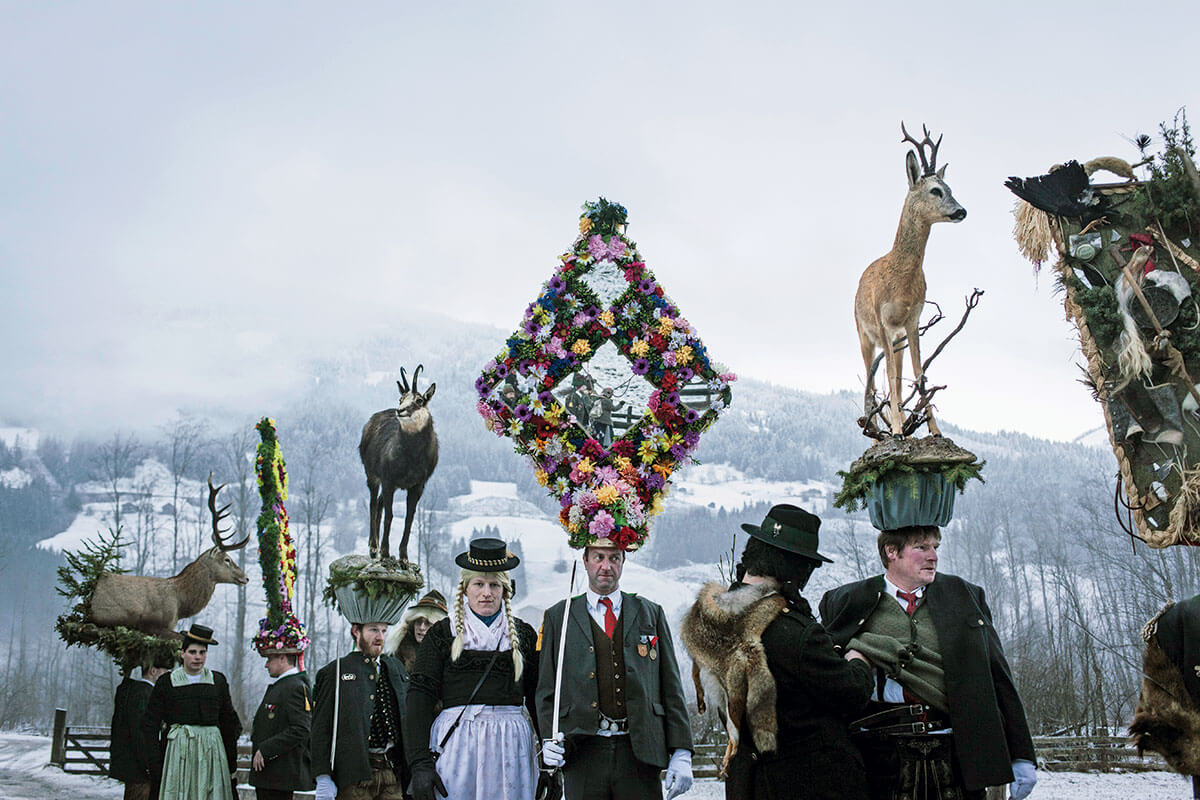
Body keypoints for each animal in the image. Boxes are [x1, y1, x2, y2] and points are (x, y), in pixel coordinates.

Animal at [364, 367, 446, 561]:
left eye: (419, 400)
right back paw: (373, 547)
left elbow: (409, 518)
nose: (400, 410)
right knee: (373, 503)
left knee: (379, 503)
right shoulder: (388, 479)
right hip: (372, 475)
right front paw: (385, 551)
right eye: (400, 398)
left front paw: (403, 557)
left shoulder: (417, 485)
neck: (411, 458)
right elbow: (390, 514)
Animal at [854, 123, 964, 438]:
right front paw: (897, 429)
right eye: (935, 190)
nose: (961, 211)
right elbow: (890, 375)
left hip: (897, 339)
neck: (901, 279)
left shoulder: (913, 320)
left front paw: (935, 429)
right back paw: (879, 431)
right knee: (871, 379)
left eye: (950, 188)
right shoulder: (882, 319)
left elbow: (919, 374)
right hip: (864, 334)